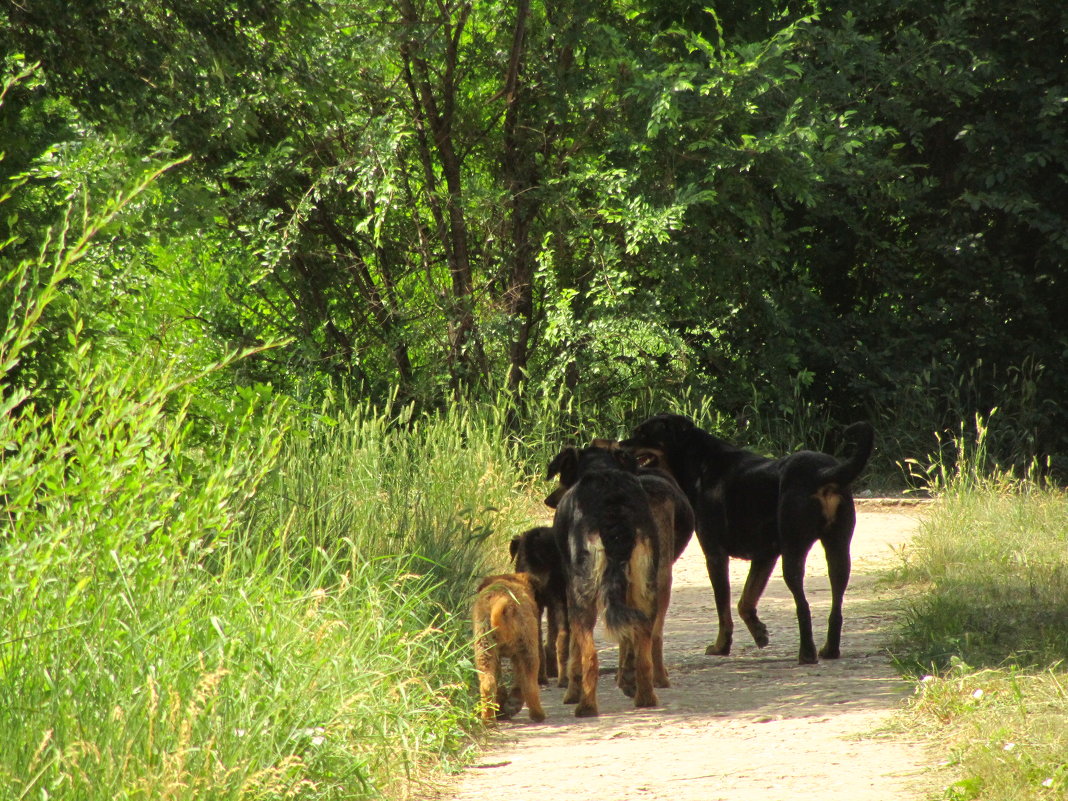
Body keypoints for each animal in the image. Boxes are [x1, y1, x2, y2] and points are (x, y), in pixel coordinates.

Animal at [472, 572, 546, 726]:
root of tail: (503, 599)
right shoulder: (518, 655)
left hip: (484, 648)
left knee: (488, 683)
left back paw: (488, 720)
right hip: (528, 649)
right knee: (529, 684)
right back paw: (538, 715)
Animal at [551, 448, 657, 717]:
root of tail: (613, 508)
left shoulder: (571, 591)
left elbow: (575, 652)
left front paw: (572, 692)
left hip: (583, 593)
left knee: (590, 656)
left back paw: (586, 706)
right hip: (646, 586)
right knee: (643, 650)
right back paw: (645, 697)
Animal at [623, 416, 871, 666]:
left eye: (642, 433)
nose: (620, 445)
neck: (698, 462)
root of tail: (824, 472)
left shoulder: (715, 555)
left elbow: (723, 607)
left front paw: (721, 646)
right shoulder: (765, 556)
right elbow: (746, 600)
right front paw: (759, 632)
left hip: (794, 551)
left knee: (803, 605)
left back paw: (807, 653)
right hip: (839, 549)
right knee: (836, 605)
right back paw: (830, 649)